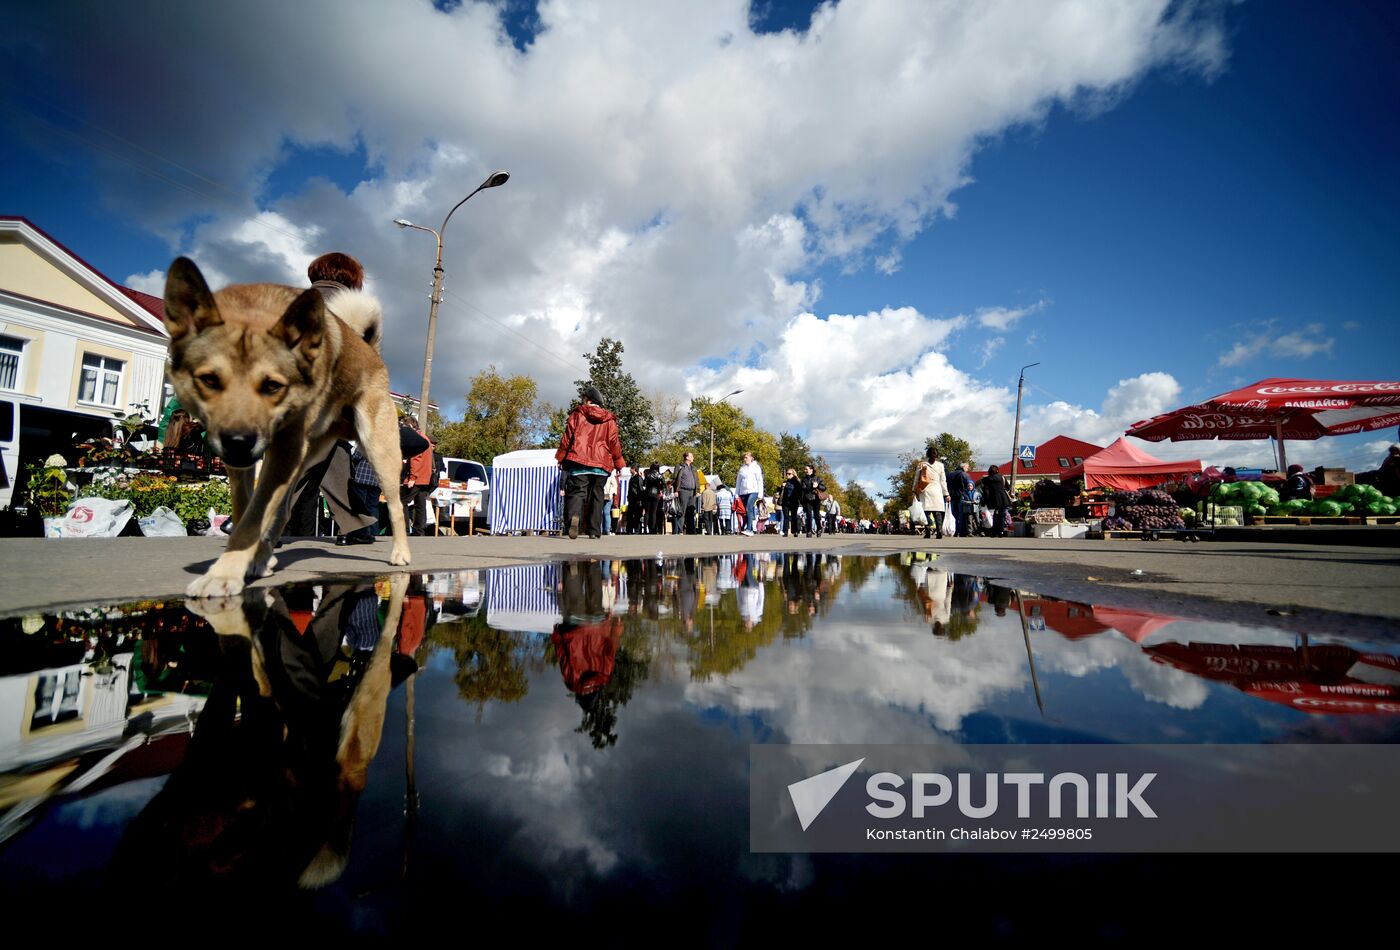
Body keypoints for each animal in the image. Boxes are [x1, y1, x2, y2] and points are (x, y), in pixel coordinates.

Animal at [164, 256, 411, 598]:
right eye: (209, 380)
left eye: (272, 385)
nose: (238, 440)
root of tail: (369, 350)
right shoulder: (252, 462)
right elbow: (247, 511)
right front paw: (243, 557)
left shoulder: (284, 449)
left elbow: (254, 515)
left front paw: (223, 574)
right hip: (307, 458)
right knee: (282, 510)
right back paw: (264, 555)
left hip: (378, 451)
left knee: (398, 507)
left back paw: (400, 553)